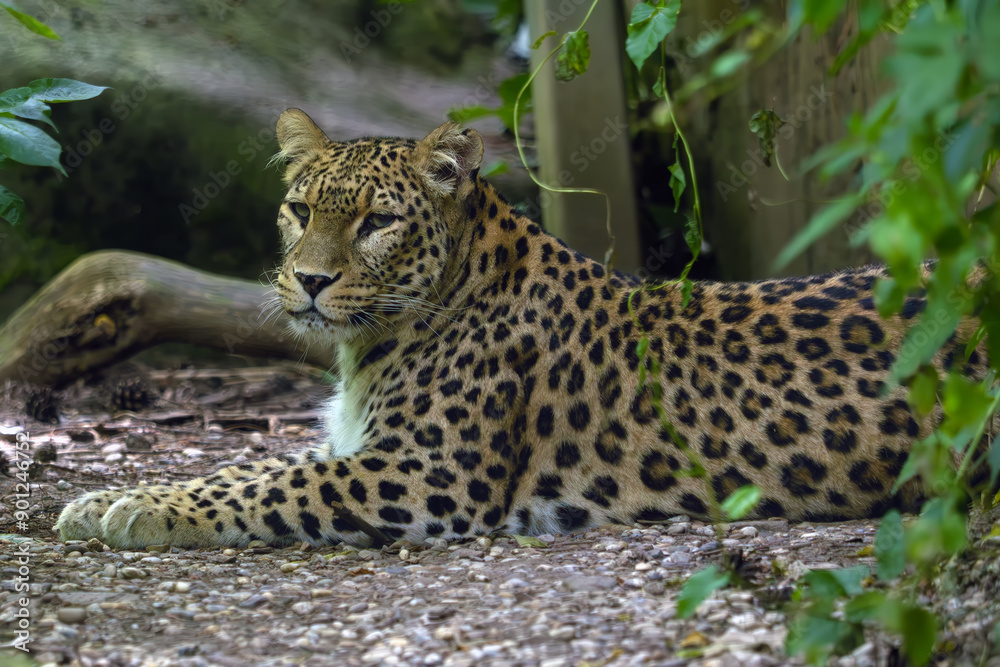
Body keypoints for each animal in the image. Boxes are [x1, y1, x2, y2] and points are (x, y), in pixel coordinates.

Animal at [54, 108, 984, 548]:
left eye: (377, 222)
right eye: (301, 210)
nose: (311, 281)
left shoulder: (425, 473)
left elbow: (269, 485)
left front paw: (137, 509)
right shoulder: (356, 444)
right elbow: (247, 463)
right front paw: (108, 495)